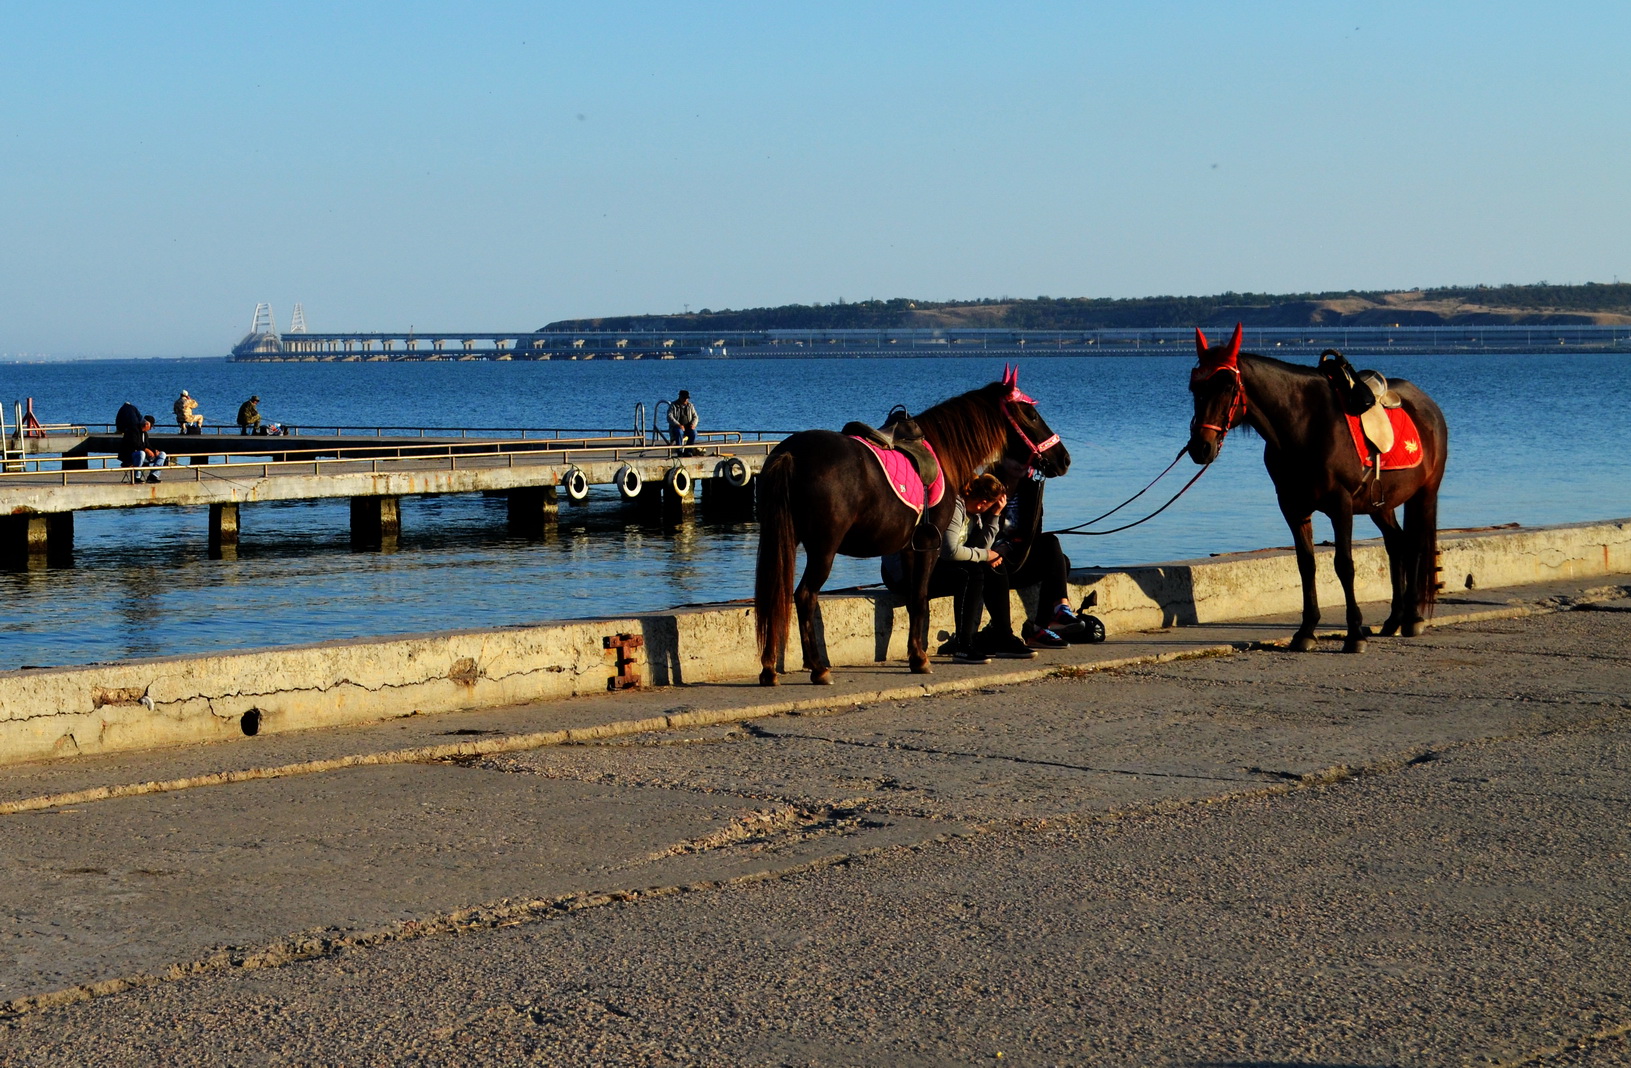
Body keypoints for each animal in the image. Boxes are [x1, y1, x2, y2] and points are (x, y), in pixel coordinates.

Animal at [756, 368, 1076, 684]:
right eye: (1031, 415)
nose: (1064, 458)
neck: (942, 451)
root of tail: (789, 453)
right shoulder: (929, 545)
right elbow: (921, 599)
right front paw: (919, 659)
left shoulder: (909, 547)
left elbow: (912, 599)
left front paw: (915, 653)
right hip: (823, 548)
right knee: (804, 596)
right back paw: (817, 667)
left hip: (781, 541)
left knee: (774, 597)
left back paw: (769, 668)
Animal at [1187, 326, 1454, 655]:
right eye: (1194, 386)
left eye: (1226, 386)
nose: (1200, 447)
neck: (1304, 426)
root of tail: (1429, 407)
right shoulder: (1293, 507)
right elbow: (1306, 564)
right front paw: (1306, 631)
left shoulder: (1341, 505)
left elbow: (1344, 565)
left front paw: (1355, 634)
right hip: (1382, 504)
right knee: (1397, 544)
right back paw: (1394, 618)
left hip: (1424, 493)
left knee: (1415, 544)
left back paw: (1413, 618)